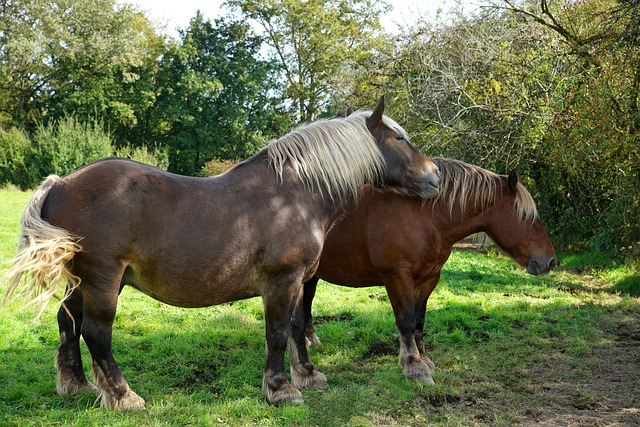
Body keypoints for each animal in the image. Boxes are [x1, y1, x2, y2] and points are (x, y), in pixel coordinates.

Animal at [2, 98, 442, 412]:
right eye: (399, 139)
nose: (435, 176)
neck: (296, 194)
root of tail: (61, 183)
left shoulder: (300, 281)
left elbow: (298, 328)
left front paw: (308, 376)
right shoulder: (282, 282)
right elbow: (277, 334)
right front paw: (281, 390)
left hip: (83, 280)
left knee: (68, 321)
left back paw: (76, 384)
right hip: (103, 280)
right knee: (96, 332)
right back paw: (123, 396)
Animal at [300, 157, 556, 384]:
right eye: (525, 216)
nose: (550, 261)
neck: (424, 217)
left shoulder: (428, 279)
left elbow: (419, 321)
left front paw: (424, 360)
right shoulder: (398, 278)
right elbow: (406, 321)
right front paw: (414, 367)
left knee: (306, 302)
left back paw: (310, 339)